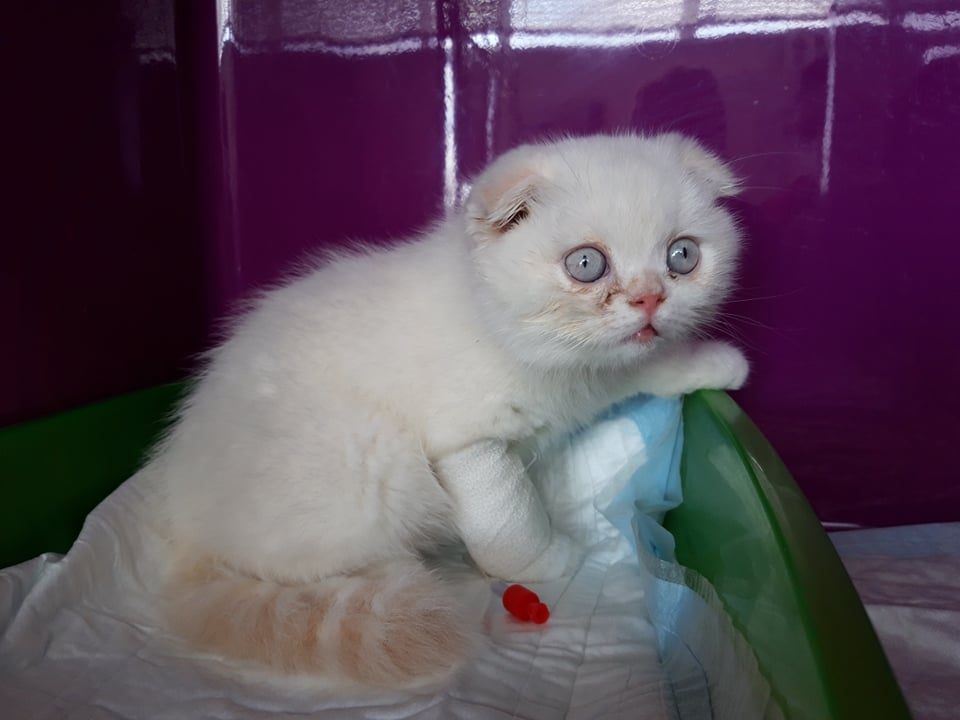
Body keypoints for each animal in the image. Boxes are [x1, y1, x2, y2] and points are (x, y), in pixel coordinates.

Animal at [150, 134, 752, 692]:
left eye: (682, 256)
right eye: (586, 264)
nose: (650, 299)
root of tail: (182, 530)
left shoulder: (597, 372)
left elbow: (639, 365)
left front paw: (713, 363)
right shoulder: (465, 441)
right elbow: (508, 515)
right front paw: (545, 561)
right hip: (376, 470)